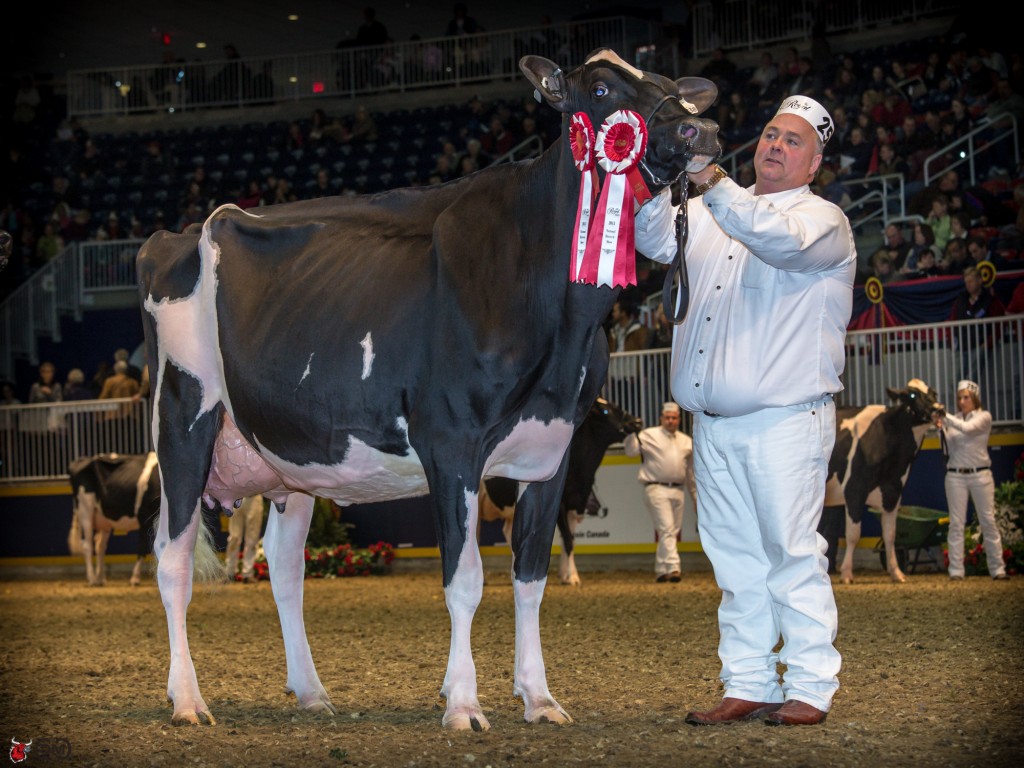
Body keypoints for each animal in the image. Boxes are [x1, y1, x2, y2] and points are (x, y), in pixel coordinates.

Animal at [67, 452, 161, 586]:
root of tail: (81, 460)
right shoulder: (144, 517)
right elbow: (142, 547)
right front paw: (135, 578)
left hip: (103, 519)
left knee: (100, 546)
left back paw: (100, 578)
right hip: (85, 509)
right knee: (87, 545)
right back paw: (92, 579)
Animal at [479, 396, 643, 586]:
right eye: (605, 410)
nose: (637, 421)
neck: (582, 476)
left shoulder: (574, 504)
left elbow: (569, 541)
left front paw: (565, 574)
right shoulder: (560, 505)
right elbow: (568, 539)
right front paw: (572, 577)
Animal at [825, 378, 942, 584]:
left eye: (933, 393)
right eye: (912, 395)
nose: (939, 409)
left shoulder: (894, 492)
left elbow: (890, 534)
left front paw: (896, 573)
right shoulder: (854, 489)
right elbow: (853, 534)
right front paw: (847, 574)